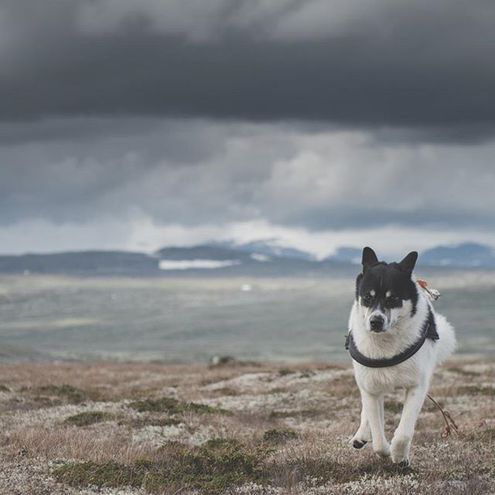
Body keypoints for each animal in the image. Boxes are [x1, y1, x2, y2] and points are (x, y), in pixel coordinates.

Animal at [346, 248, 456, 468]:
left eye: (393, 298)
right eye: (367, 298)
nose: (375, 321)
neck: (386, 342)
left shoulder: (417, 386)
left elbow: (404, 432)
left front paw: (399, 456)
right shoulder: (371, 387)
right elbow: (378, 438)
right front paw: (385, 450)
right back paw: (361, 435)